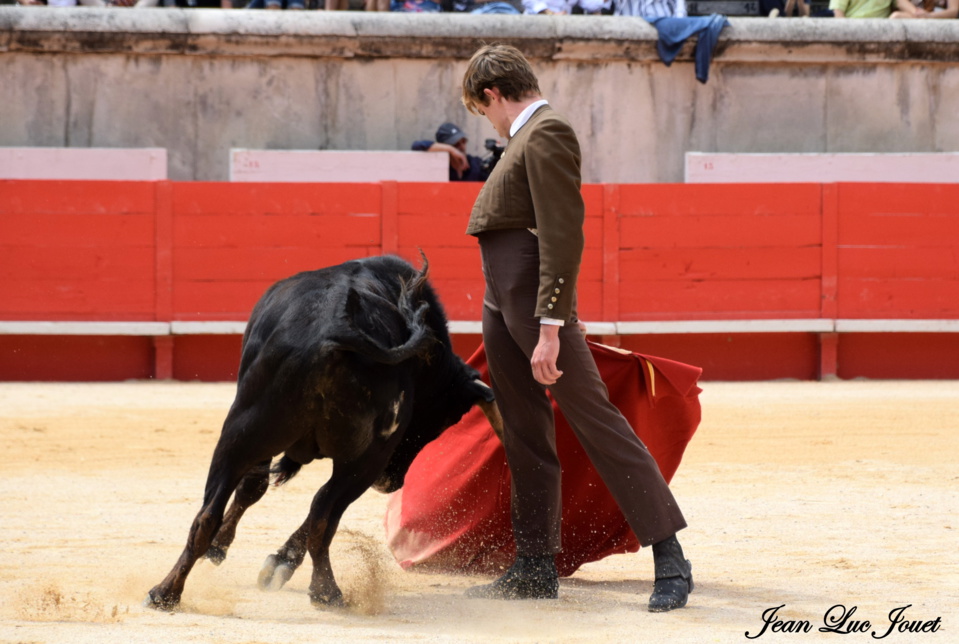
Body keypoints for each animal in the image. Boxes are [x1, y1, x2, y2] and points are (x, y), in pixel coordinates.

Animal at [144, 255, 502, 608]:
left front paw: (231, 551)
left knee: (269, 512)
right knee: (313, 513)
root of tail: (335, 334)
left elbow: (254, 487)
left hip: (254, 439)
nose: (391, 482)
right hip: (343, 460)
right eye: (438, 422)